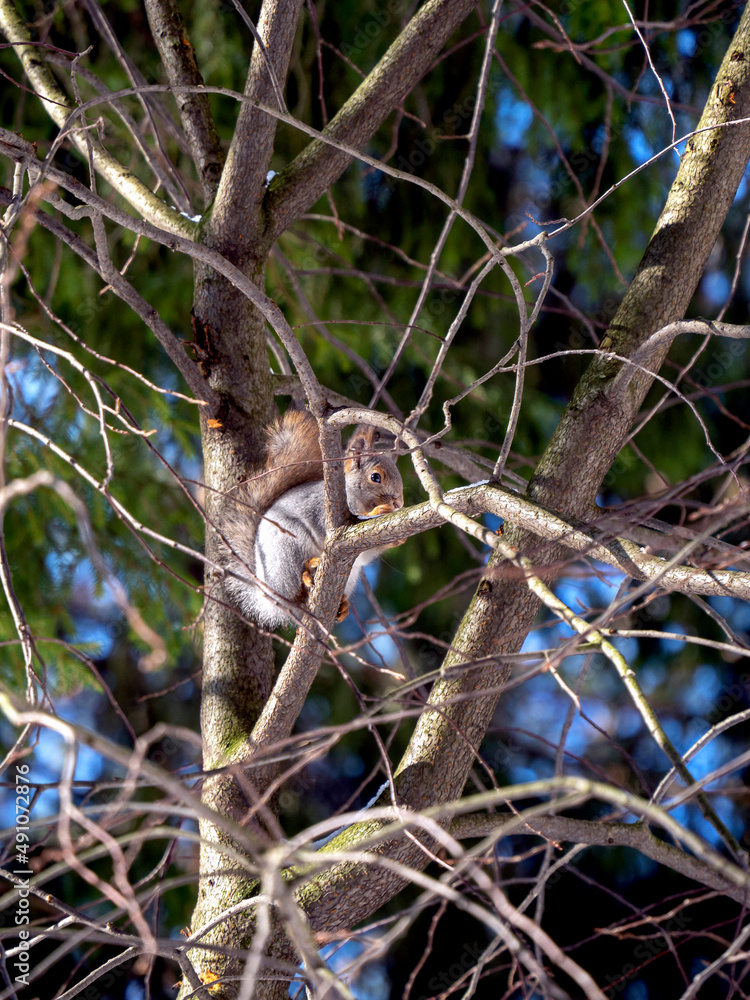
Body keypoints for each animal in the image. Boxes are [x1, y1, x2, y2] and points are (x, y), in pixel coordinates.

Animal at [218, 409, 404, 628]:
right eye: (376, 477)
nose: (398, 504)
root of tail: (267, 597)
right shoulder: (323, 508)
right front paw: (378, 511)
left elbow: (366, 554)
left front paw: (398, 539)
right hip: (287, 549)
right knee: (293, 594)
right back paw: (306, 575)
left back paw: (341, 606)